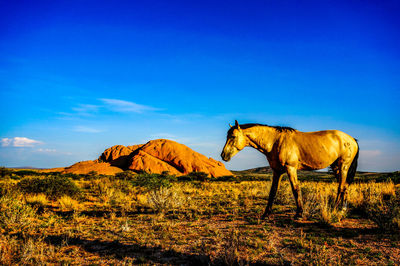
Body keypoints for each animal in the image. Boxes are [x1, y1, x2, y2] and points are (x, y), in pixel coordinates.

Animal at [222, 120, 360, 218]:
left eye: (233, 136)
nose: (223, 155)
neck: (276, 141)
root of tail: (352, 139)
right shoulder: (277, 171)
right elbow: (273, 191)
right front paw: (266, 214)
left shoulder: (291, 168)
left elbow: (295, 189)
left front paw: (299, 213)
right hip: (337, 168)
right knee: (345, 186)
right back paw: (342, 210)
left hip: (343, 167)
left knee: (341, 187)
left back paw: (335, 209)